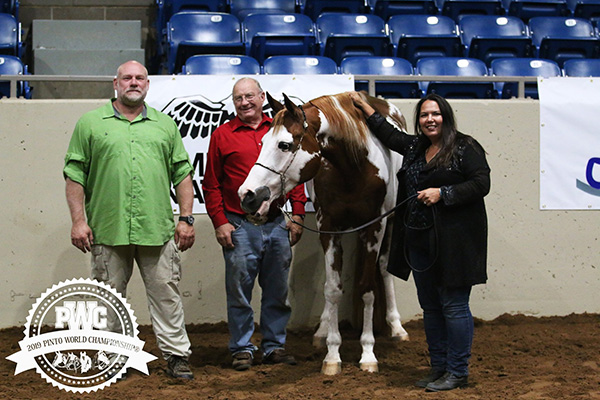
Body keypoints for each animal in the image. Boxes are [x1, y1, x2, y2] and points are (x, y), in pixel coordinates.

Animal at [237, 90, 410, 376]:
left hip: (392, 223)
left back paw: (396, 328)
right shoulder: (327, 228)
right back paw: (321, 330)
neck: (353, 166)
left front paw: (367, 352)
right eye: (262, 142)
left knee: (385, 269)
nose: (247, 195)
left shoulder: (375, 227)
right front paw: (331, 353)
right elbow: (332, 289)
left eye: (284, 145)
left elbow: (368, 288)